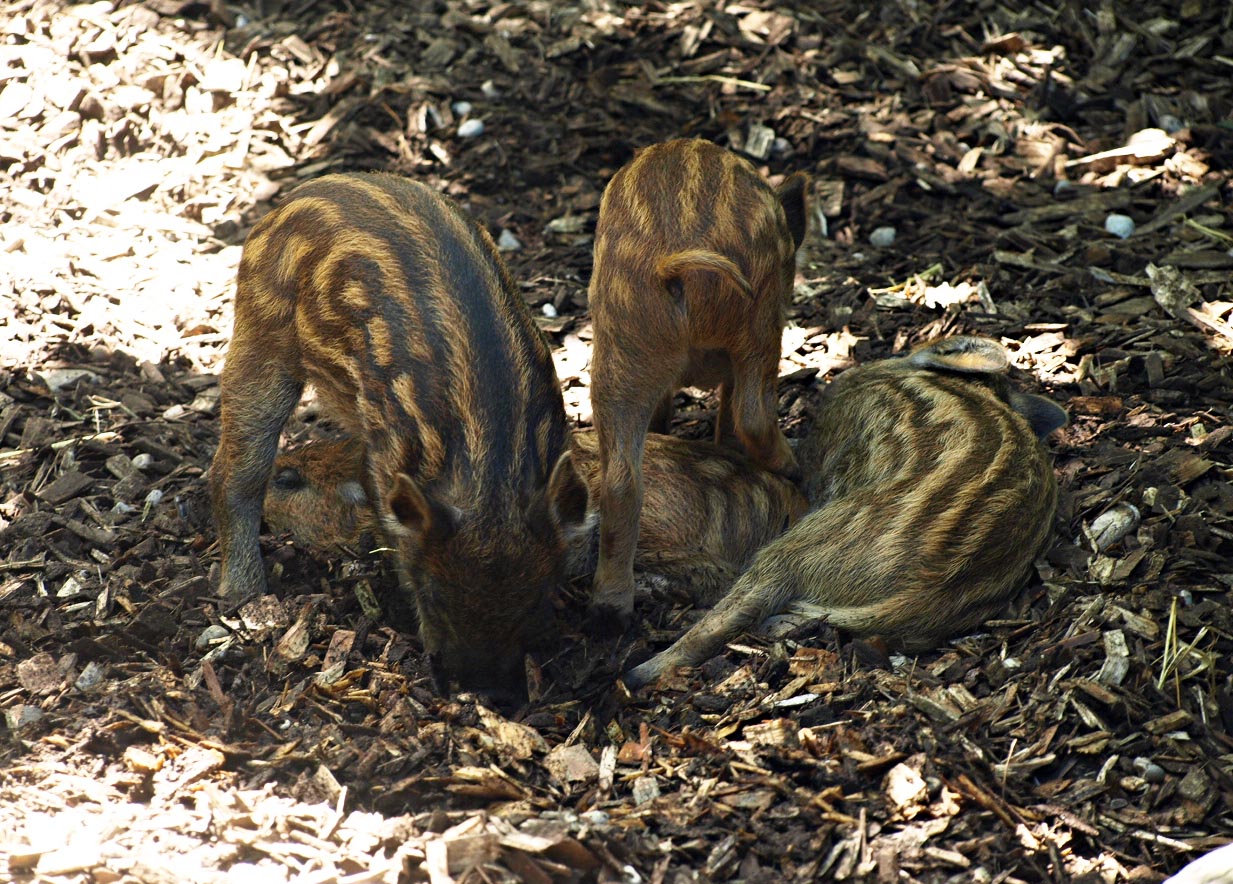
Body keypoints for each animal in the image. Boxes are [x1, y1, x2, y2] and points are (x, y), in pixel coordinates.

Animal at [209, 172, 590, 704]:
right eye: (432, 591)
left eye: (537, 594)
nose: (483, 690)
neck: (491, 473)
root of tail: (291, 201)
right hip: (263, 334)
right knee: (233, 471)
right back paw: (241, 593)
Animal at [588, 138, 809, 627]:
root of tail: (674, 267)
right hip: (758, 325)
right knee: (753, 414)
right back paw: (792, 467)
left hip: (622, 350)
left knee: (621, 479)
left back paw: (612, 609)